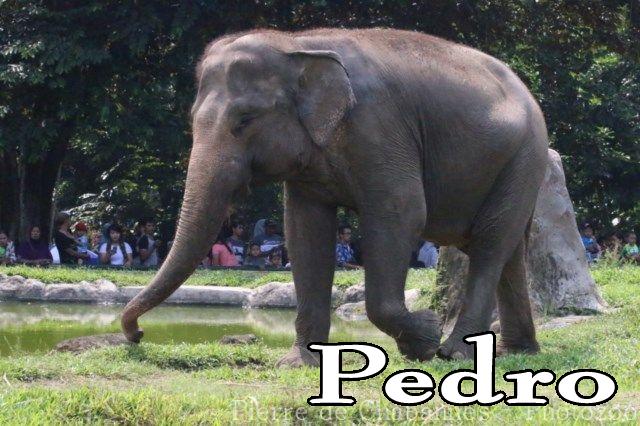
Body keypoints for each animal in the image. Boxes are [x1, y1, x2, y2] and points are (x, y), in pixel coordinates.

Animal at [121, 28, 549, 365]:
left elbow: (402, 212)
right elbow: (304, 229)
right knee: (509, 249)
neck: (298, 44)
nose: (138, 336)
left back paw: (455, 352)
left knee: (490, 244)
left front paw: (424, 337)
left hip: (525, 156)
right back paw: (517, 350)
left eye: (244, 120)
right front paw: (300, 363)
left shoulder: (379, 127)